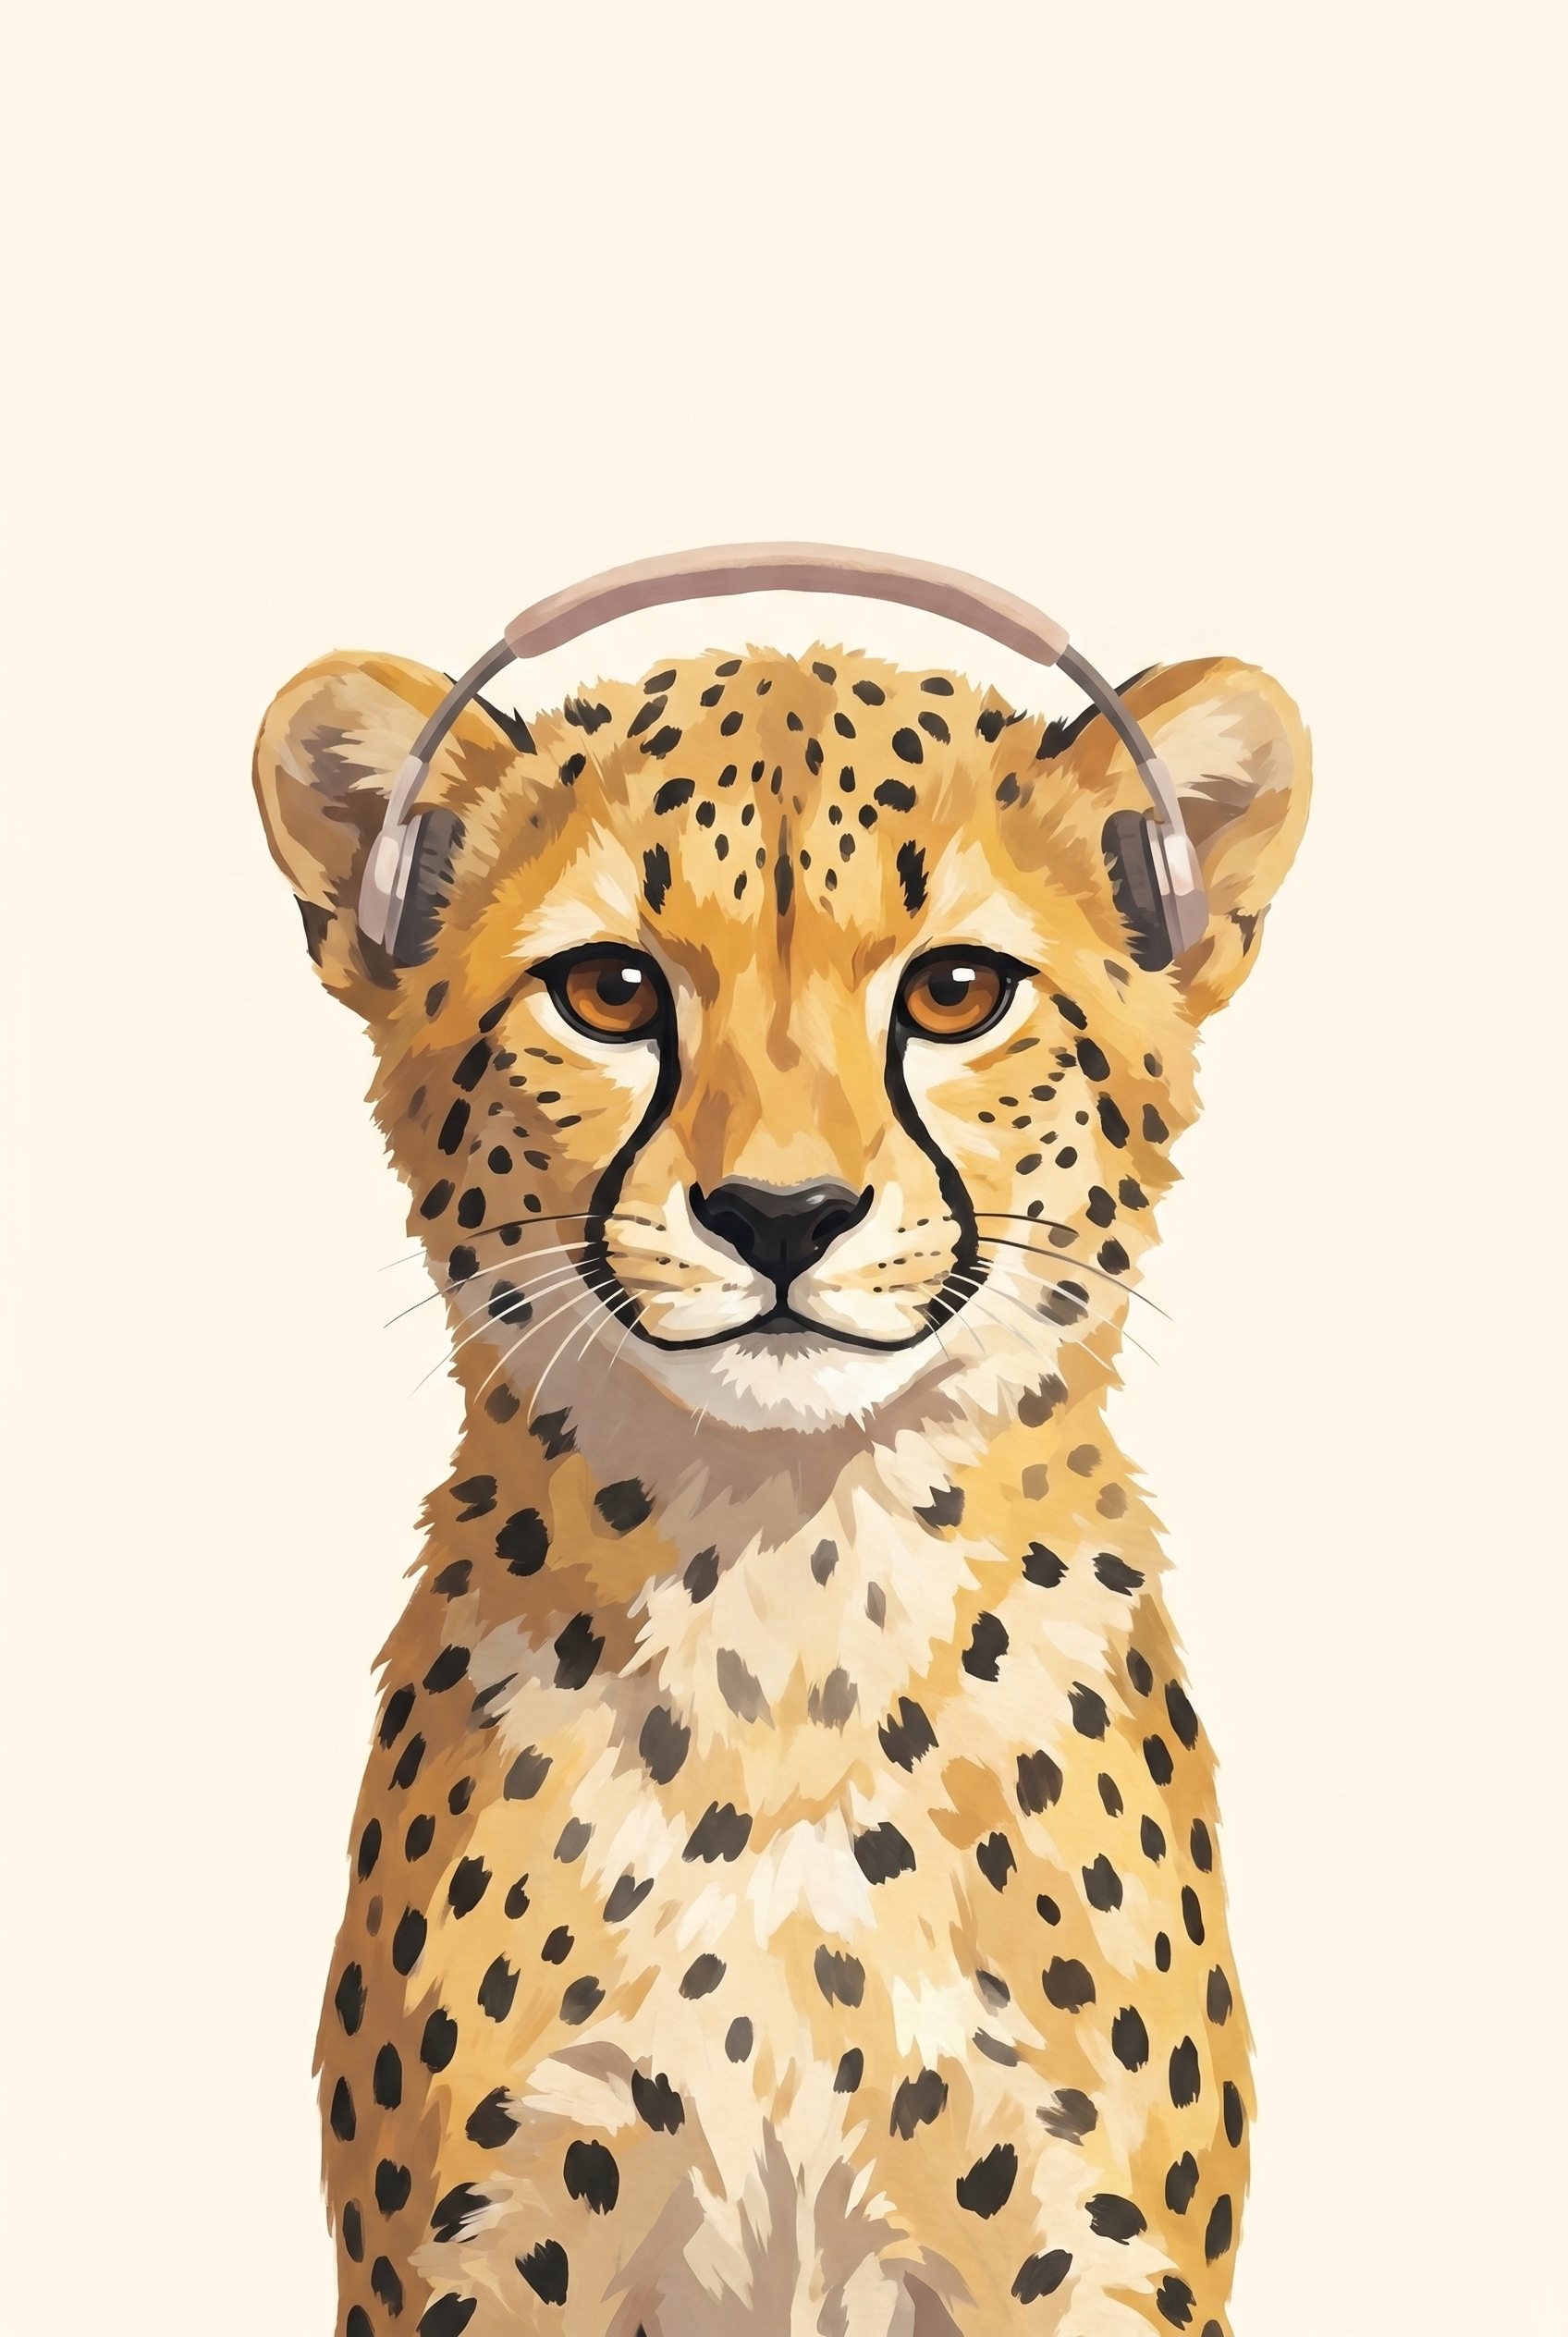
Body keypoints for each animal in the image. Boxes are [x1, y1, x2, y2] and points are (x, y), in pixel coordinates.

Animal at [254, 622, 1309, 2337]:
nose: (782, 1213)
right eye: (611, 989)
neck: (788, 1593)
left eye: (956, 990)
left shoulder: (1079, 2257)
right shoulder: (486, 2260)